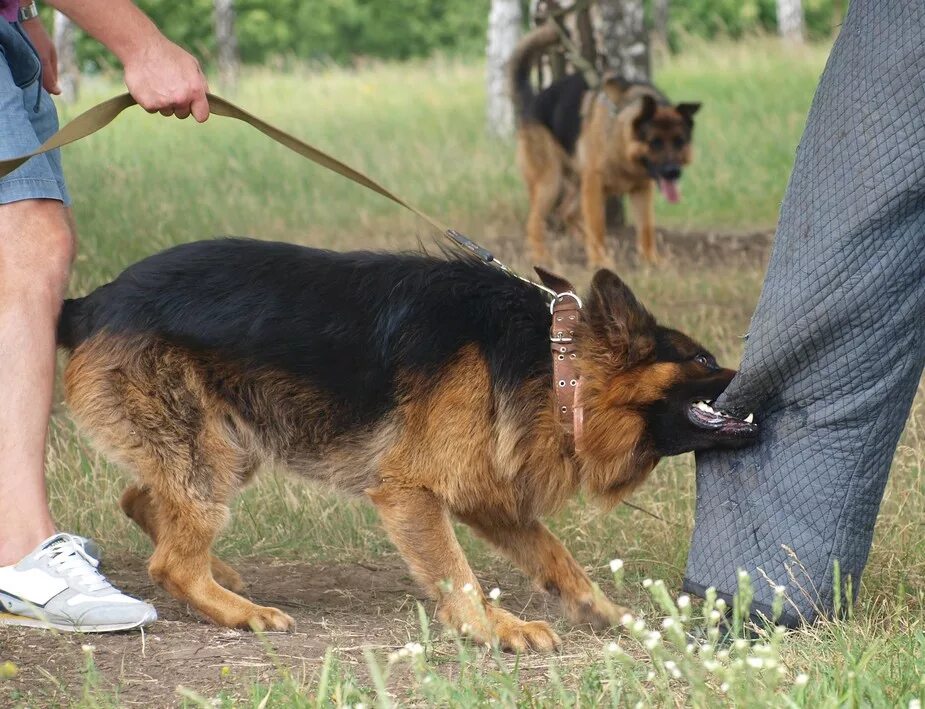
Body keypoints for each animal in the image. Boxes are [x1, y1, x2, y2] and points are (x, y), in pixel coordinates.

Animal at [56, 239, 752, 652]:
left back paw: (220, 575)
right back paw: (238, 610)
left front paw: (598, 608)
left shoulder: (488, 495)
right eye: (703, 359)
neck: (554, 364)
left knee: (141, 502)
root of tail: (93, 301)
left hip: (230, 444)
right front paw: (488, 629)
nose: (759, 380)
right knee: (170, 560)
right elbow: (458, 575)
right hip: (211, 454)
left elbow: (555, 555)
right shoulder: (411, 493)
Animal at [508, 24, 696, 266]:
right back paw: (543, 256)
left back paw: (579, 240)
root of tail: (533, 101)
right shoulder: (594, 184)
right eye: (654, 142)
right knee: (535, 222)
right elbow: (598, 226)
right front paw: (600, 260)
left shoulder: (641, 189)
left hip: (576, 185)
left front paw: (650, 259)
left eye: (679, 141)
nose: (672, 172)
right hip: (551, 183)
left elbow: (646, 228)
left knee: (565, 212)